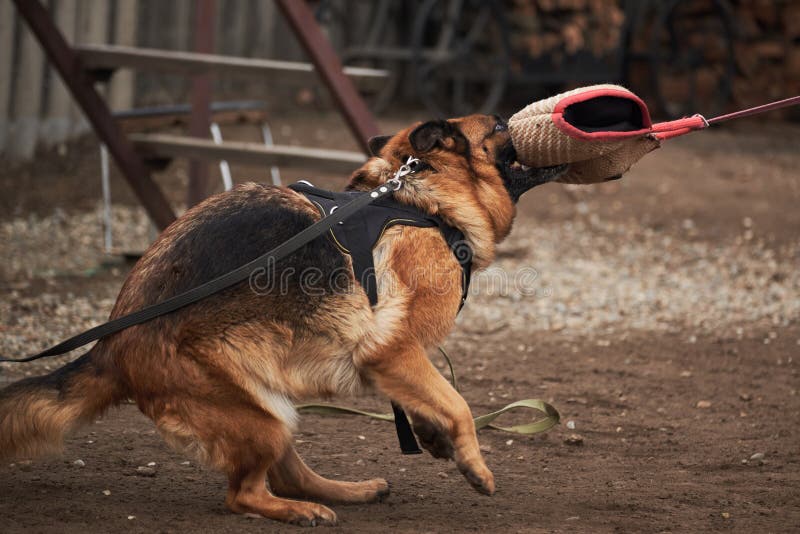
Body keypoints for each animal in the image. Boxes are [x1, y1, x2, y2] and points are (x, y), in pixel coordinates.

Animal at [0, 114, 564, 528]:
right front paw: (475, 466)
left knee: (286, 473)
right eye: (499, 125)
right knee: (244, 494)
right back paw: (299, 511)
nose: (529, 123)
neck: (420, 199)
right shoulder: (392, 349)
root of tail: (110, 346)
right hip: (258, 415)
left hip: (271, 404)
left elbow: (430, 398)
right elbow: (459, 403)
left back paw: (348, 491)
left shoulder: (398, 361)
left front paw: (432, 435)